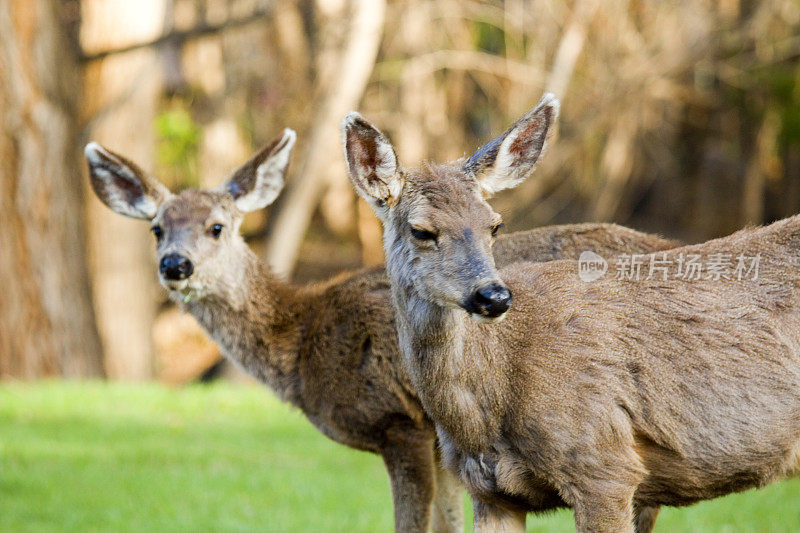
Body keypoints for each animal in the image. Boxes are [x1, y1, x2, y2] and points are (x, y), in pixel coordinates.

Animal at [84, 123, 680, 528]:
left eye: (216, 227)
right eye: (157, 229)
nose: (175, 265)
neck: (304, 342)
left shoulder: (400, 421)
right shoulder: (443, 446)